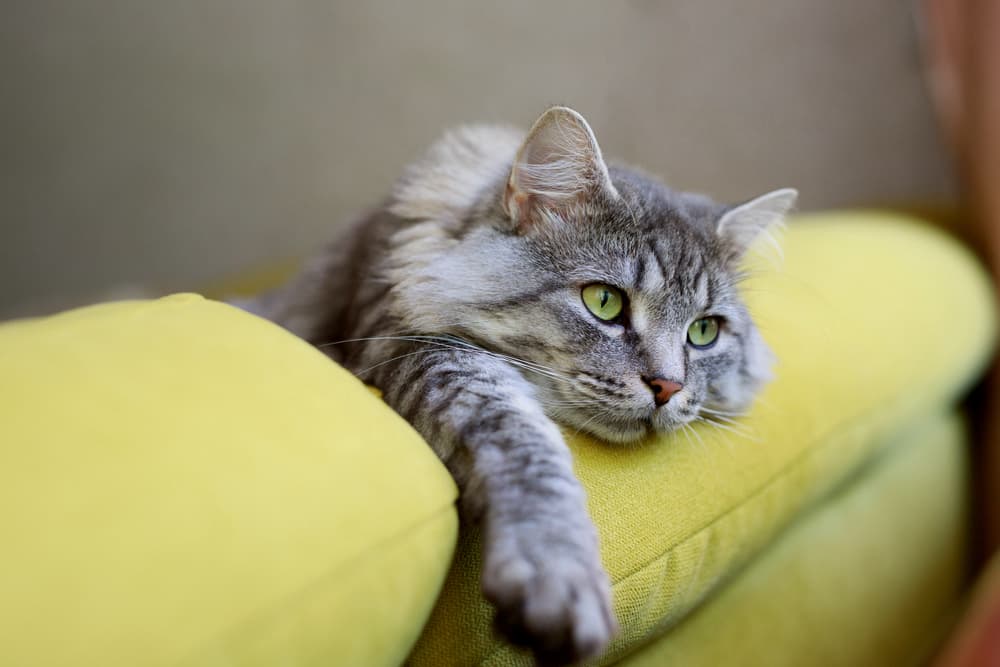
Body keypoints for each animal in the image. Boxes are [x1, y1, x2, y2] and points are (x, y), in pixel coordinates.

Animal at [250, 107, 796, 664]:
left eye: (704, 331)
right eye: (604, 302)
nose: (667, 386)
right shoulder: (420, 349)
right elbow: (526, 446)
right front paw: (558, 575)